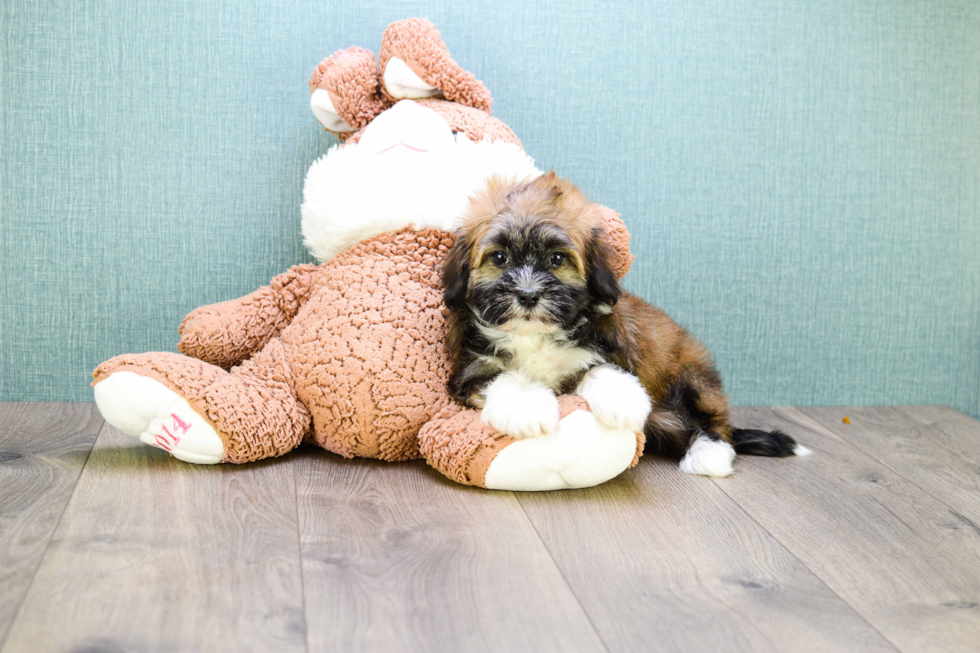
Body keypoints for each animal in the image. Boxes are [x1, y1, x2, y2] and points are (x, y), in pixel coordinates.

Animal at [440, 172, 808, 478]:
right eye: (499, 258)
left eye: (557, 259)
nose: (528, 294)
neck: (535, 336)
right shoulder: (471, 368)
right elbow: (501, 375)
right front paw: (527, 407)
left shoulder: (607, 348)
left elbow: (599, 369)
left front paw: (622, 401)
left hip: (693, 375)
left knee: (714, 420)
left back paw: (709, 455)